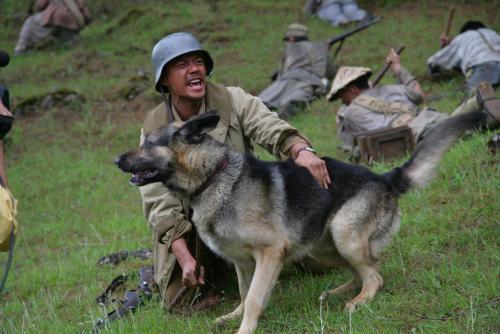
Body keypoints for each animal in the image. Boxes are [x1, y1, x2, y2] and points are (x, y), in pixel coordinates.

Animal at [114, 110, 484, 334]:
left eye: (147, 144)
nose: (116, 159)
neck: (213, 177)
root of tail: (385, 177)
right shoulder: (243, 263)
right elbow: (244, 293)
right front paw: (233, 317)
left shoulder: (270, 253)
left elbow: (254, 297)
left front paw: (244, 328)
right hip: (323, 244)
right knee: (362, 270)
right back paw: (337, 291)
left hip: (343, 234)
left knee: (375, 275)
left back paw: (358, 301)